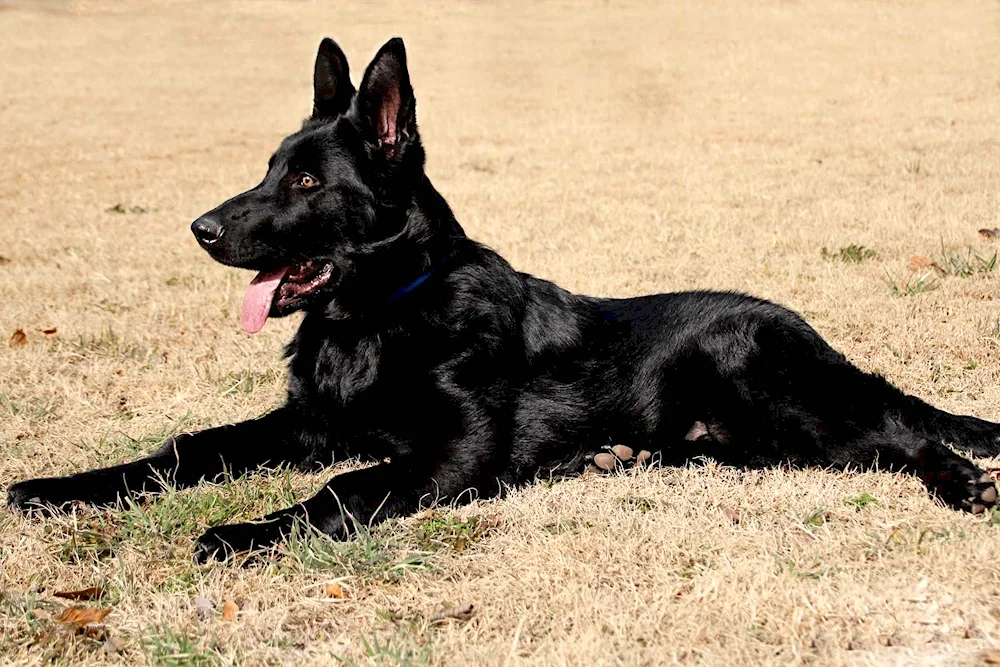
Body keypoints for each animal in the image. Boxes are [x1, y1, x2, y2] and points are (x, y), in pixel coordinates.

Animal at [7, 37, 1000, 564]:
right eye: (267, 168)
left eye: (305, 181)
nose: (201, 229)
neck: (380, 317)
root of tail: (814, 335)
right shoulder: (306, 425)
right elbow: (183, 449)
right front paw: (58, 489)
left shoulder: (447, 453)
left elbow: (341, 487)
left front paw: (245, 531)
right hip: (753, 437)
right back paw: (612, 458)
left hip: (780, 397)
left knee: (899, 434)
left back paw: (963, 482)